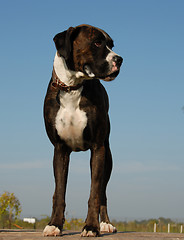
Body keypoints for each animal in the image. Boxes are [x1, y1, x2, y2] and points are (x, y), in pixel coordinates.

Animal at [43, 23, 122, 237]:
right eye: (97, 42)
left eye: (111, 45)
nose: (119, 59)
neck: (72, 88)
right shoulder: (60, 150)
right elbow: (59, 192)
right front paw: (55, 224)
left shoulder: (97, 149)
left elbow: (94, 193)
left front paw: (92, 226)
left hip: (107, 159)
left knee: (102, 192)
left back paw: (105, 224)